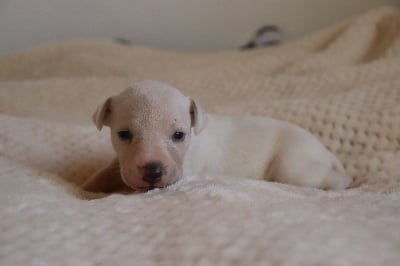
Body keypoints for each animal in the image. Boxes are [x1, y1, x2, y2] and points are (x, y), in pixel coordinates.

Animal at [83, 80, 352, 192]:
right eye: (124, 134)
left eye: (179, 135)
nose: (153, 171)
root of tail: (324, 150)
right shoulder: (123, 162)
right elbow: (112, 168)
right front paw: (89, 185)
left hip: (292, 167)